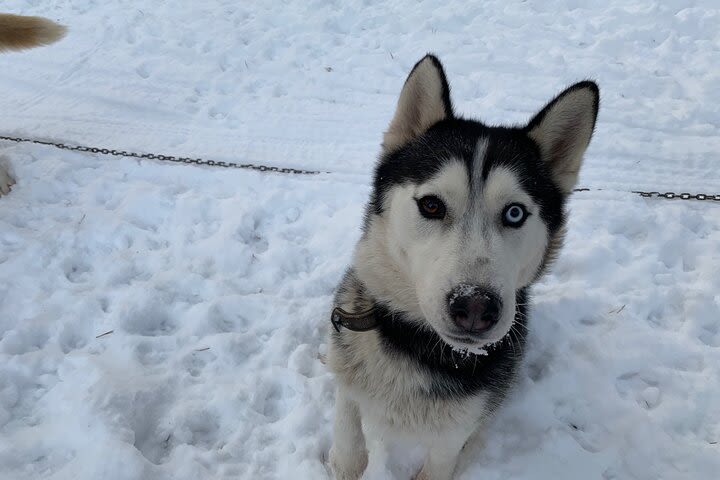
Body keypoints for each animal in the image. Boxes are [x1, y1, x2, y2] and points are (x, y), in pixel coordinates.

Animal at [326, 54, 596, 478]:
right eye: (431, 205)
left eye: (515, 213)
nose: (474, 307)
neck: (415, 345)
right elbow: (347, 429)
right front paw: (346, 456)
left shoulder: (453, 435)